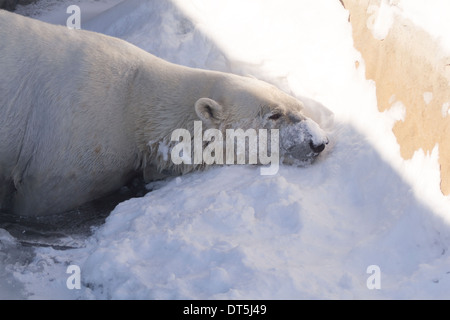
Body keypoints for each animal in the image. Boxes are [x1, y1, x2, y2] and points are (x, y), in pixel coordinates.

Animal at [0, 11, 326, 216]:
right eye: (274, 115)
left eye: (300, 107)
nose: (318, 143)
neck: (135, 101)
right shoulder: (73, 143)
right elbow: (38, 200)